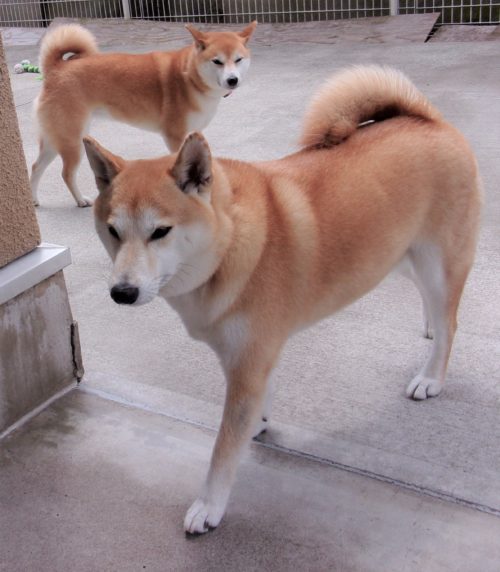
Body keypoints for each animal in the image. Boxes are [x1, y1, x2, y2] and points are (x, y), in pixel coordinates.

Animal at [30, 21, 257, 207]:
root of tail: (55, 69)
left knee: (35, 167)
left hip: (56, 139)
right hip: (72, 141)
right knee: (66, 173)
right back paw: (80, 200)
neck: (190, 77)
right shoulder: (175, 136)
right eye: (217, 61)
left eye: (238, 59)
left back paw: (33, 200)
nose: (232, 80)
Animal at [83, 66, 481, 534]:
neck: (230, 244)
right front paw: (259, 422)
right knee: (431, 302)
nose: (122, 292)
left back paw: (432, 375)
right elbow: (257, 405)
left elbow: (223, 449)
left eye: (160, 232)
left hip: (439, 263)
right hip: (398, 255)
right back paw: (428, 325)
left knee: (451, 322)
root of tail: (432, 121)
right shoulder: (251, 356)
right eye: (113, 231)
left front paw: (209, 505)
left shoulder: (248, 362)